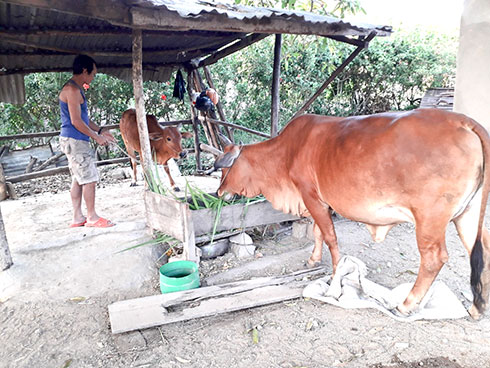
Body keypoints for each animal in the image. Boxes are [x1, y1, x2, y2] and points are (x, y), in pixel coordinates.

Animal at [212, 108, 490, 318]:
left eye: (225, 169)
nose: (218, 192)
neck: (286, 153)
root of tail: (465, 122)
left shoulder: (311, 196)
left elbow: (330, 237)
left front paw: (335, 278)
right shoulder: (317, 200)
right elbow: (318, 233)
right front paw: (313, 260)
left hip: (430, 217)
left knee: (434, 258)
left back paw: (406, 304)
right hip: (468, 214)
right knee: (483, 249)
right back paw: (478, 306)